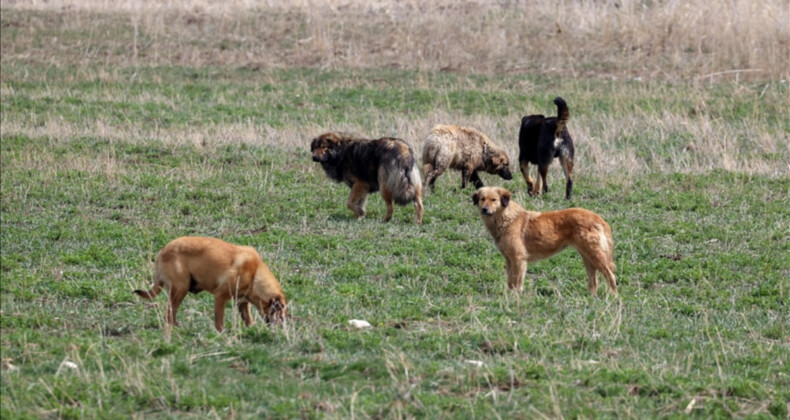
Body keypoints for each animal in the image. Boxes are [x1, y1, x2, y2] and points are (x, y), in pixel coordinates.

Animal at [134, 236, 288, 332]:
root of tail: (161, 252)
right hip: (181, 289)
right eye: (281, 313)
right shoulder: (220, 296)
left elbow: (248, 320)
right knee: (169, 315)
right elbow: (219, 321)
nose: (283, 328)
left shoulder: (242, 302)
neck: (255, 274)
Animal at [476, 187, 620, 296]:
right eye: (482, 199)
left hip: (595, 256)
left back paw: (614, 296)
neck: (506, 218)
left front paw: (516, 296)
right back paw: (592, 297)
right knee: (594, 281)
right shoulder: (509, 259)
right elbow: (510, 280)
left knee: (611, 275)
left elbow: (517, 280)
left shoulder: (518, 258)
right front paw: (510, 294)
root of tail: (598, 218)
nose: (484, 209)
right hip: (587, 256)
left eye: (494, 200)